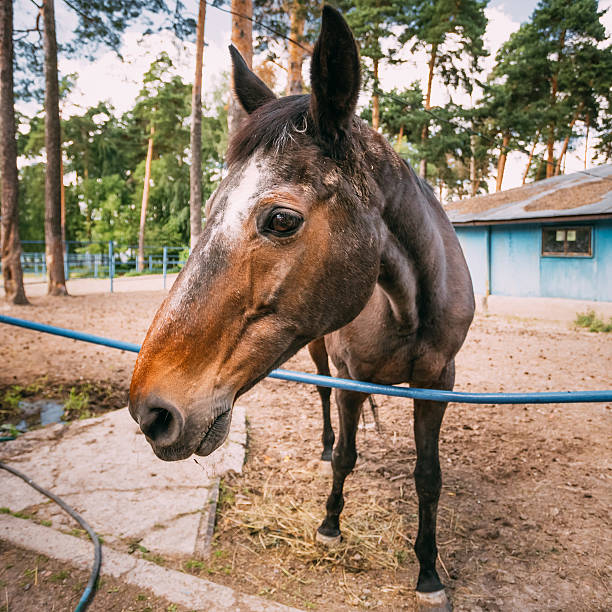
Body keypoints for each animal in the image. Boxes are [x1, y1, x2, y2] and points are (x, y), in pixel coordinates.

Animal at [128, 7, 474, 608]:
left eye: (282, 220)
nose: (152, 412)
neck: (405, 308)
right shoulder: (351, 375)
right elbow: (349, 456)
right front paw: (331, 523)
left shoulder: (438, 383)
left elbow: (429, 477)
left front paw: (429, 571)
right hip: (318, 354)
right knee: (323, 403)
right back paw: (324, 446)